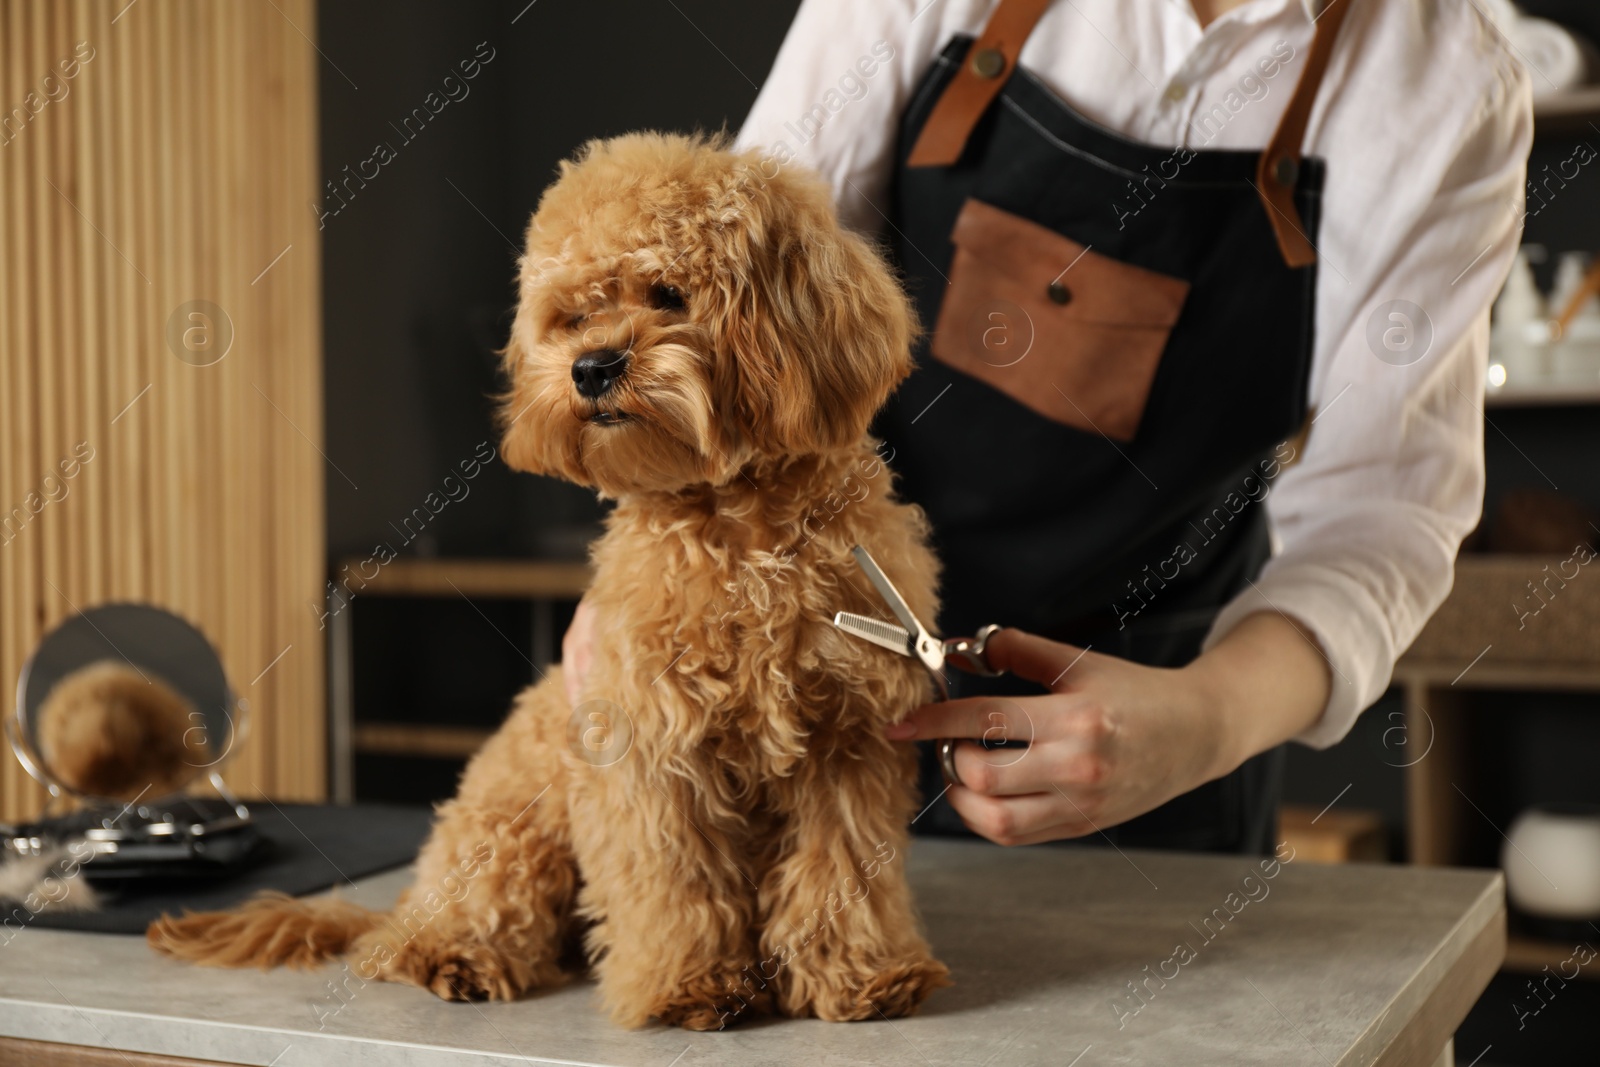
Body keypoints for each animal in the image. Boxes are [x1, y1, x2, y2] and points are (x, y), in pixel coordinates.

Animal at [147, 129, 947, 1030]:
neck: (737, 527)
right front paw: (686, 983)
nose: (591, 366)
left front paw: (860, 974)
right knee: (420, 937)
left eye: (668, 292)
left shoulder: (849, 744)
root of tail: (406, 901)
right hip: (508, 838)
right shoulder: (651, 749)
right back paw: (456, 956)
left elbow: (842, 873)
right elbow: (673, 880)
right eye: (572, 316)